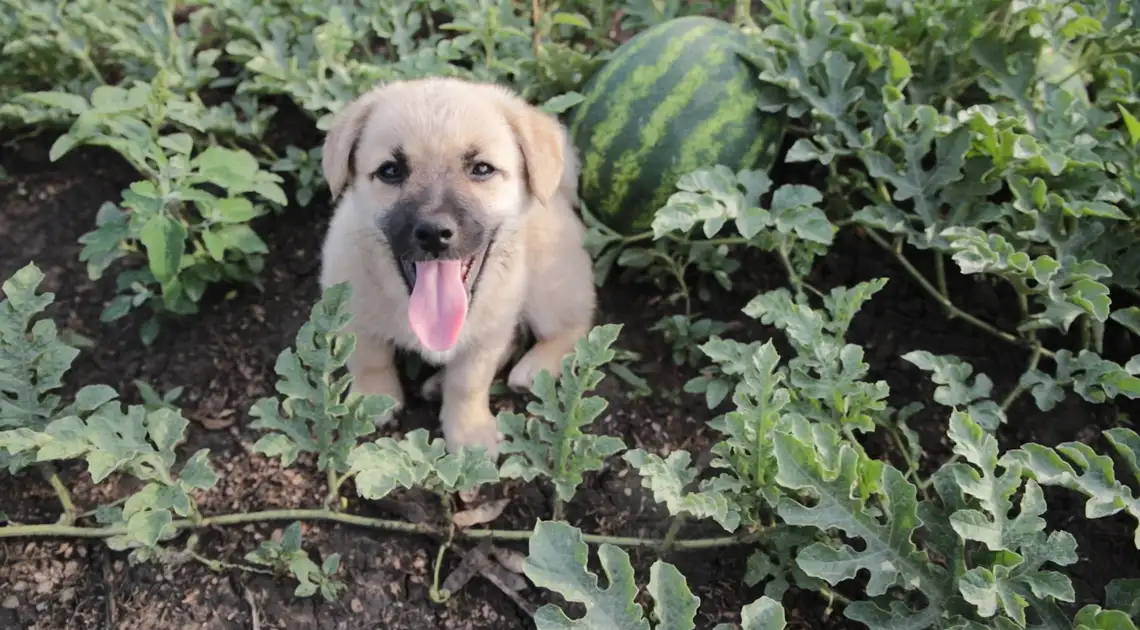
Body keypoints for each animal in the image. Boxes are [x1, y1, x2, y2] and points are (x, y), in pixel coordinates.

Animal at [319, 77, 597, 457]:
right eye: (390, 170)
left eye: (482, 169)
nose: (434, 233)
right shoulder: (352, 312)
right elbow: (369, 358)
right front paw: (375, 400)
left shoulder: (488, 334)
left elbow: (468, 383)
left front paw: (469, 433)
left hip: (549, 290)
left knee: (575, 325)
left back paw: (533, 369)